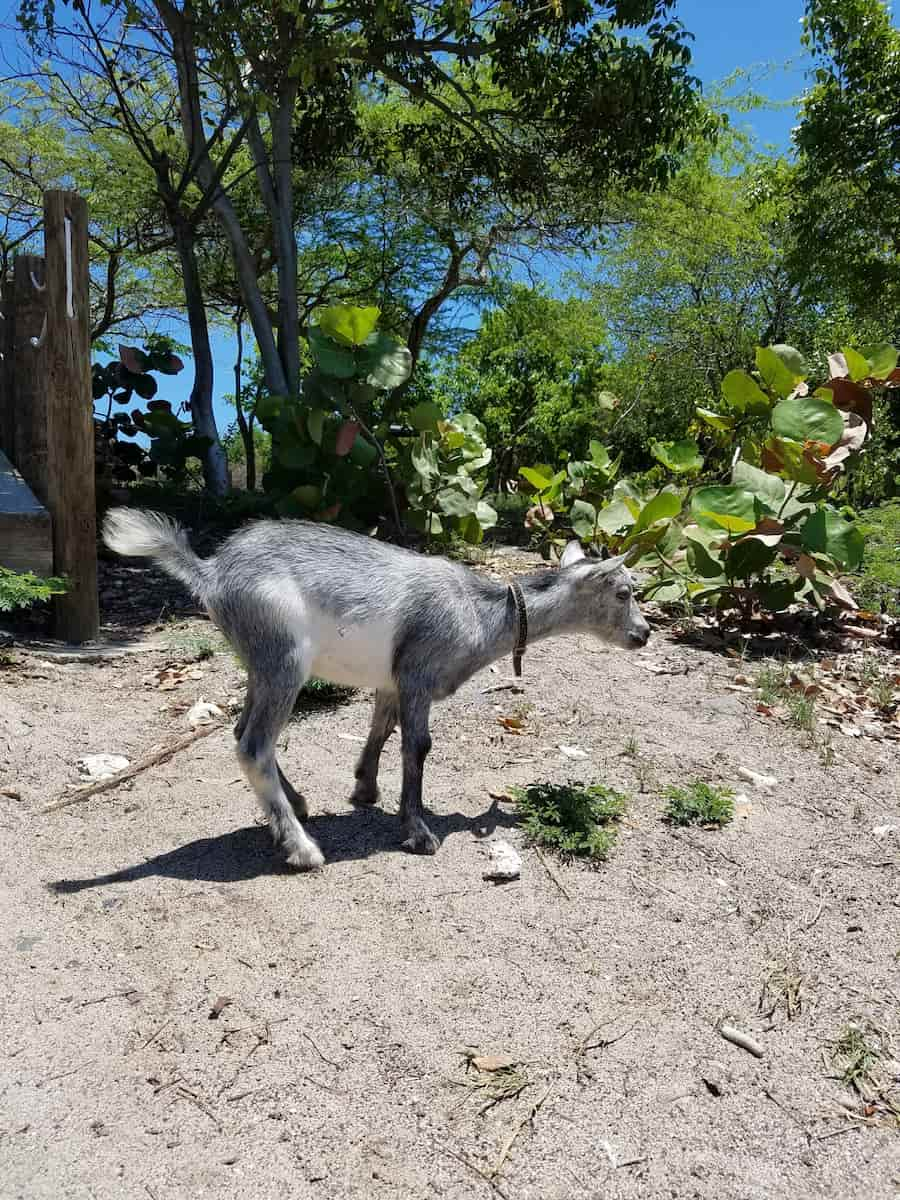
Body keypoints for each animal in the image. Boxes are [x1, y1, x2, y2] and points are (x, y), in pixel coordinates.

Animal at [103, 508, 648, 873]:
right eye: (624, 593)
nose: (643, 634)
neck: (483, 612)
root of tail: (212, 571)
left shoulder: (393, 680)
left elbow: (381, 729)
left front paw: (364, 789)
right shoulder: (420, 675)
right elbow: (418, 745)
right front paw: (418, 832)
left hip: (259, 662)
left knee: (243, 731)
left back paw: (296, 805)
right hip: (284, 657)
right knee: (253, 744)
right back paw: (302, 849)